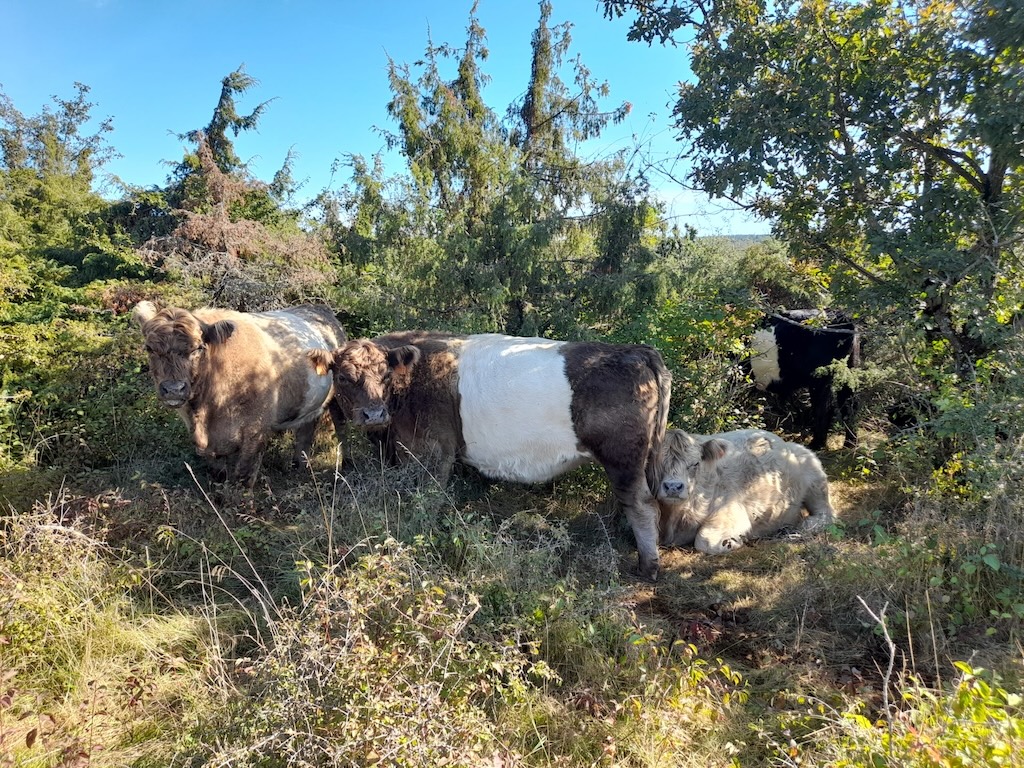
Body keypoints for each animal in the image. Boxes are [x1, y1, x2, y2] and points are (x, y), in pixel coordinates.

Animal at [133, 300, 348, 488]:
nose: (174, 389)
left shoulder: (255, 431)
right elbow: (218, 473)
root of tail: (319, 309)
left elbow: (243, 476)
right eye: (149, 348)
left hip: (338, 400)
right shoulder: (204, 440)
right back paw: (299, 466)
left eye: (199, 348)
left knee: (340, 429)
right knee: (305, 432)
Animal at [307, 332, 672, 580]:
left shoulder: (433, 450)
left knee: (640, 505)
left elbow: (428, 497)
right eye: (343, 377)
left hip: (623, 459)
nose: (374, 414)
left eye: (384, 375)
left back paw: (648, 566)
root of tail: (637, 351)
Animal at [651, 428, 835, 554]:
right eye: (656, 464)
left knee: (827, 514)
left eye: (695, 464)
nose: (673, 487)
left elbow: (705, 541)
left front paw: (732, 541)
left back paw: (803, 526)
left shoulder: (731, 510)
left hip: (815, 478)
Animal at [748, 309, 861, 450]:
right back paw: (849, 443)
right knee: (850, 404)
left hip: (820, 379)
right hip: (849, 370)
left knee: (824, 409)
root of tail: (844, 320)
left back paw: (816, 443)